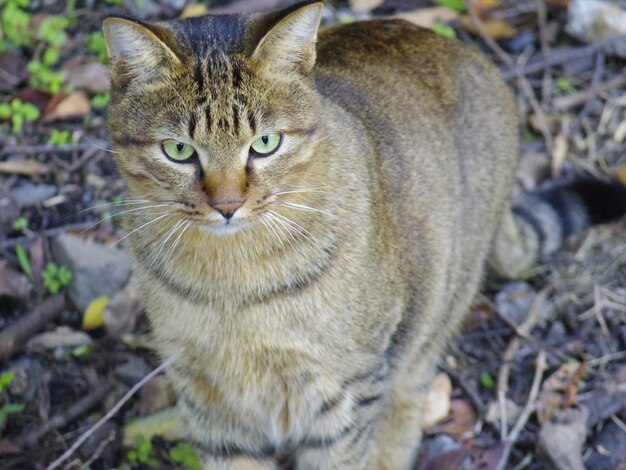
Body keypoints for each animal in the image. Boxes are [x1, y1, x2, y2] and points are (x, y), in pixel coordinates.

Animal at [102, 1, 624, 468]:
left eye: (266, 143)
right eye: (178, 150)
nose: (227, 205)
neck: (234, 285)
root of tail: (468, 53)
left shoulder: (347, 389)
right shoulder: (210, 399)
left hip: (432, 317)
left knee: (407, 402)